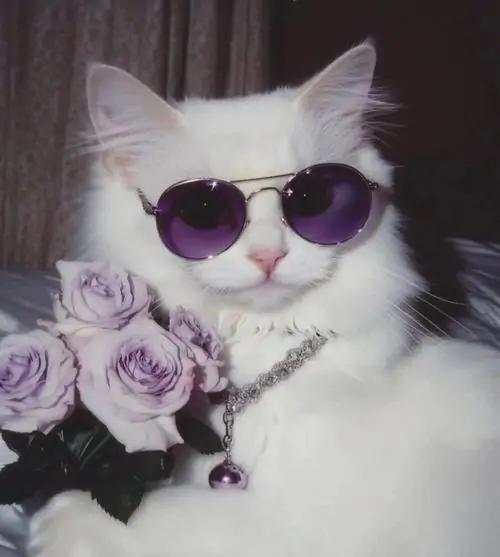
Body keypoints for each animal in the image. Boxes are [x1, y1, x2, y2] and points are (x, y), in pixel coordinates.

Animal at [29, 41, 500, 557]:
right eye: (203, 212)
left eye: (316, 199)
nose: (269, 253)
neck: (254, 367)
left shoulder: (299, 524)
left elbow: (166, 516)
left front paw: (53, 520)